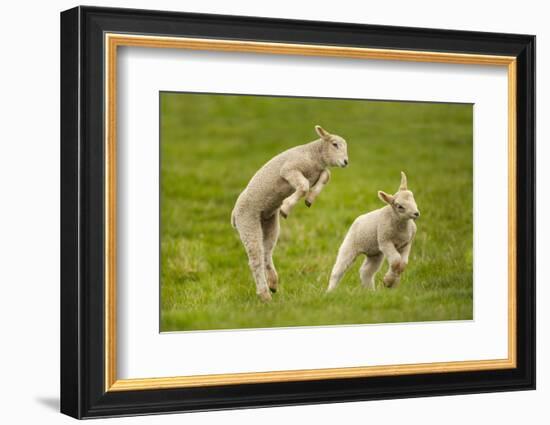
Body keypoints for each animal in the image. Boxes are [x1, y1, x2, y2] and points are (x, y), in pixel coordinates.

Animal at [232, 126, 350, 302]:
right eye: (335, 144)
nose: (345, 162)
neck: (313, 155)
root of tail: (233, 214)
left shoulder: (318, 172)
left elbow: (325, 176)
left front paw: (310, 200)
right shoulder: (289, 169)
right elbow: (304, 185)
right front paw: (286, 207)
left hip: (269, 221)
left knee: (266, 252)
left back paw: (273, 283)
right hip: (247, 221)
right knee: (255, 259)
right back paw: (265, 294)